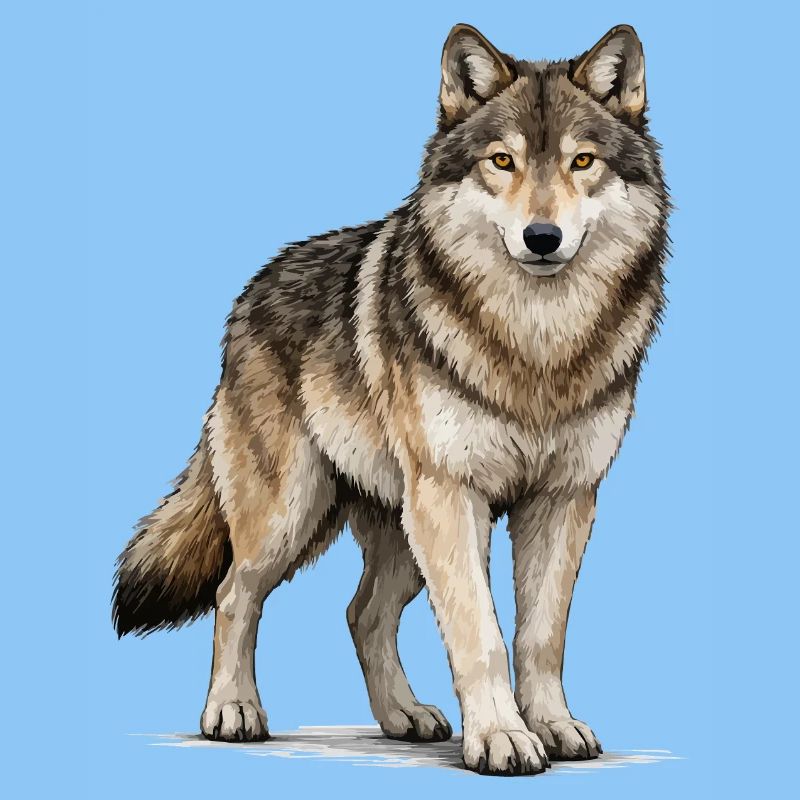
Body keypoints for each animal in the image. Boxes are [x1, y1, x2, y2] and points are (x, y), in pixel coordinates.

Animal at [113, 23, 668, 776]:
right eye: (502, 161)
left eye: (582, 161)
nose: (542, 238)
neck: (535, 344)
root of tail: (249, 292)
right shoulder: (452, 496)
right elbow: (482, 635)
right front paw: (501, 737)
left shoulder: (564, 499)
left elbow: (539, 637)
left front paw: (552, 726)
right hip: (295, 514)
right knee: (235, 593)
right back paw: (232, 711)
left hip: (401, 529)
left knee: (362, 613)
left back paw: (403, 716)